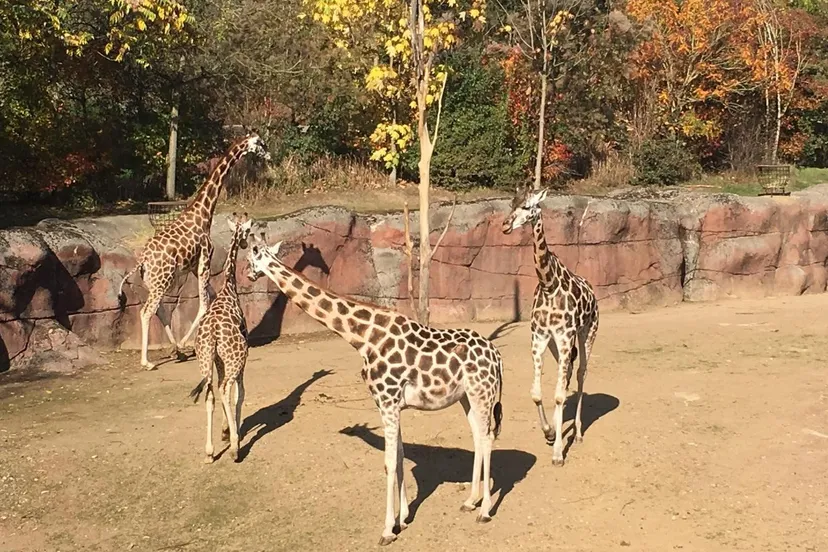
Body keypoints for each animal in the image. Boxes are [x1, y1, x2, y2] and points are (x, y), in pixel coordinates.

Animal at [118, 133, 269, 370]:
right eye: (260, 143)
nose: (269, 154)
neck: (203, 213)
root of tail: (143, 261)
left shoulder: (194, 266)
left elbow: (210, 298)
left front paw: (183, 345)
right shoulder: (205, 259)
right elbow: (204, 303)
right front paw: (187, 343)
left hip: (154, 281)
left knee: (159, 309)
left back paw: (176, 350)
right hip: (162, 280)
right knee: (147, 311)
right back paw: (147, 361)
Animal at [189, 212, 253, 463]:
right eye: (248, 232)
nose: (245, 244)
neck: (229, 286)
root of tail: (214, 332)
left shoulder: (217, 359)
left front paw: (226, 430)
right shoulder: (242, 357)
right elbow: (239, 394)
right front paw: (232, 432)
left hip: (204, 359)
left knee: (210, 394)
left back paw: (209, 451)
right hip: (236, 356)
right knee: (225, 389)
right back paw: (235, 449)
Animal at [245, 232, 504, 546]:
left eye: (250, 256)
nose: (248, 275)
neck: (363, 337)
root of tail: (497, 356)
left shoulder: (388, 401)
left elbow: (389, 462)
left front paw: (387, 530)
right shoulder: (389, 404)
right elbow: (400, 457)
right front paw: (403, 518)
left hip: (482, 393)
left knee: (488, 438)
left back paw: (486, 511)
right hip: (467, 397)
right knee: (478, 437)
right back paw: (470, 501)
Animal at [501, 185, 599, 466]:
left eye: (527, 206)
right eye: (511, 204)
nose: (505, 225)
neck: (548, 283)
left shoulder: (565, 336)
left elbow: (557, 394)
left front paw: (557, 454)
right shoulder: (540, 336)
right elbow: (537, 392)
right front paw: (549, 432)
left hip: (587, 333)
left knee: (581, 374)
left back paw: (578, 433)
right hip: (558, 345)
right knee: (566, 376)